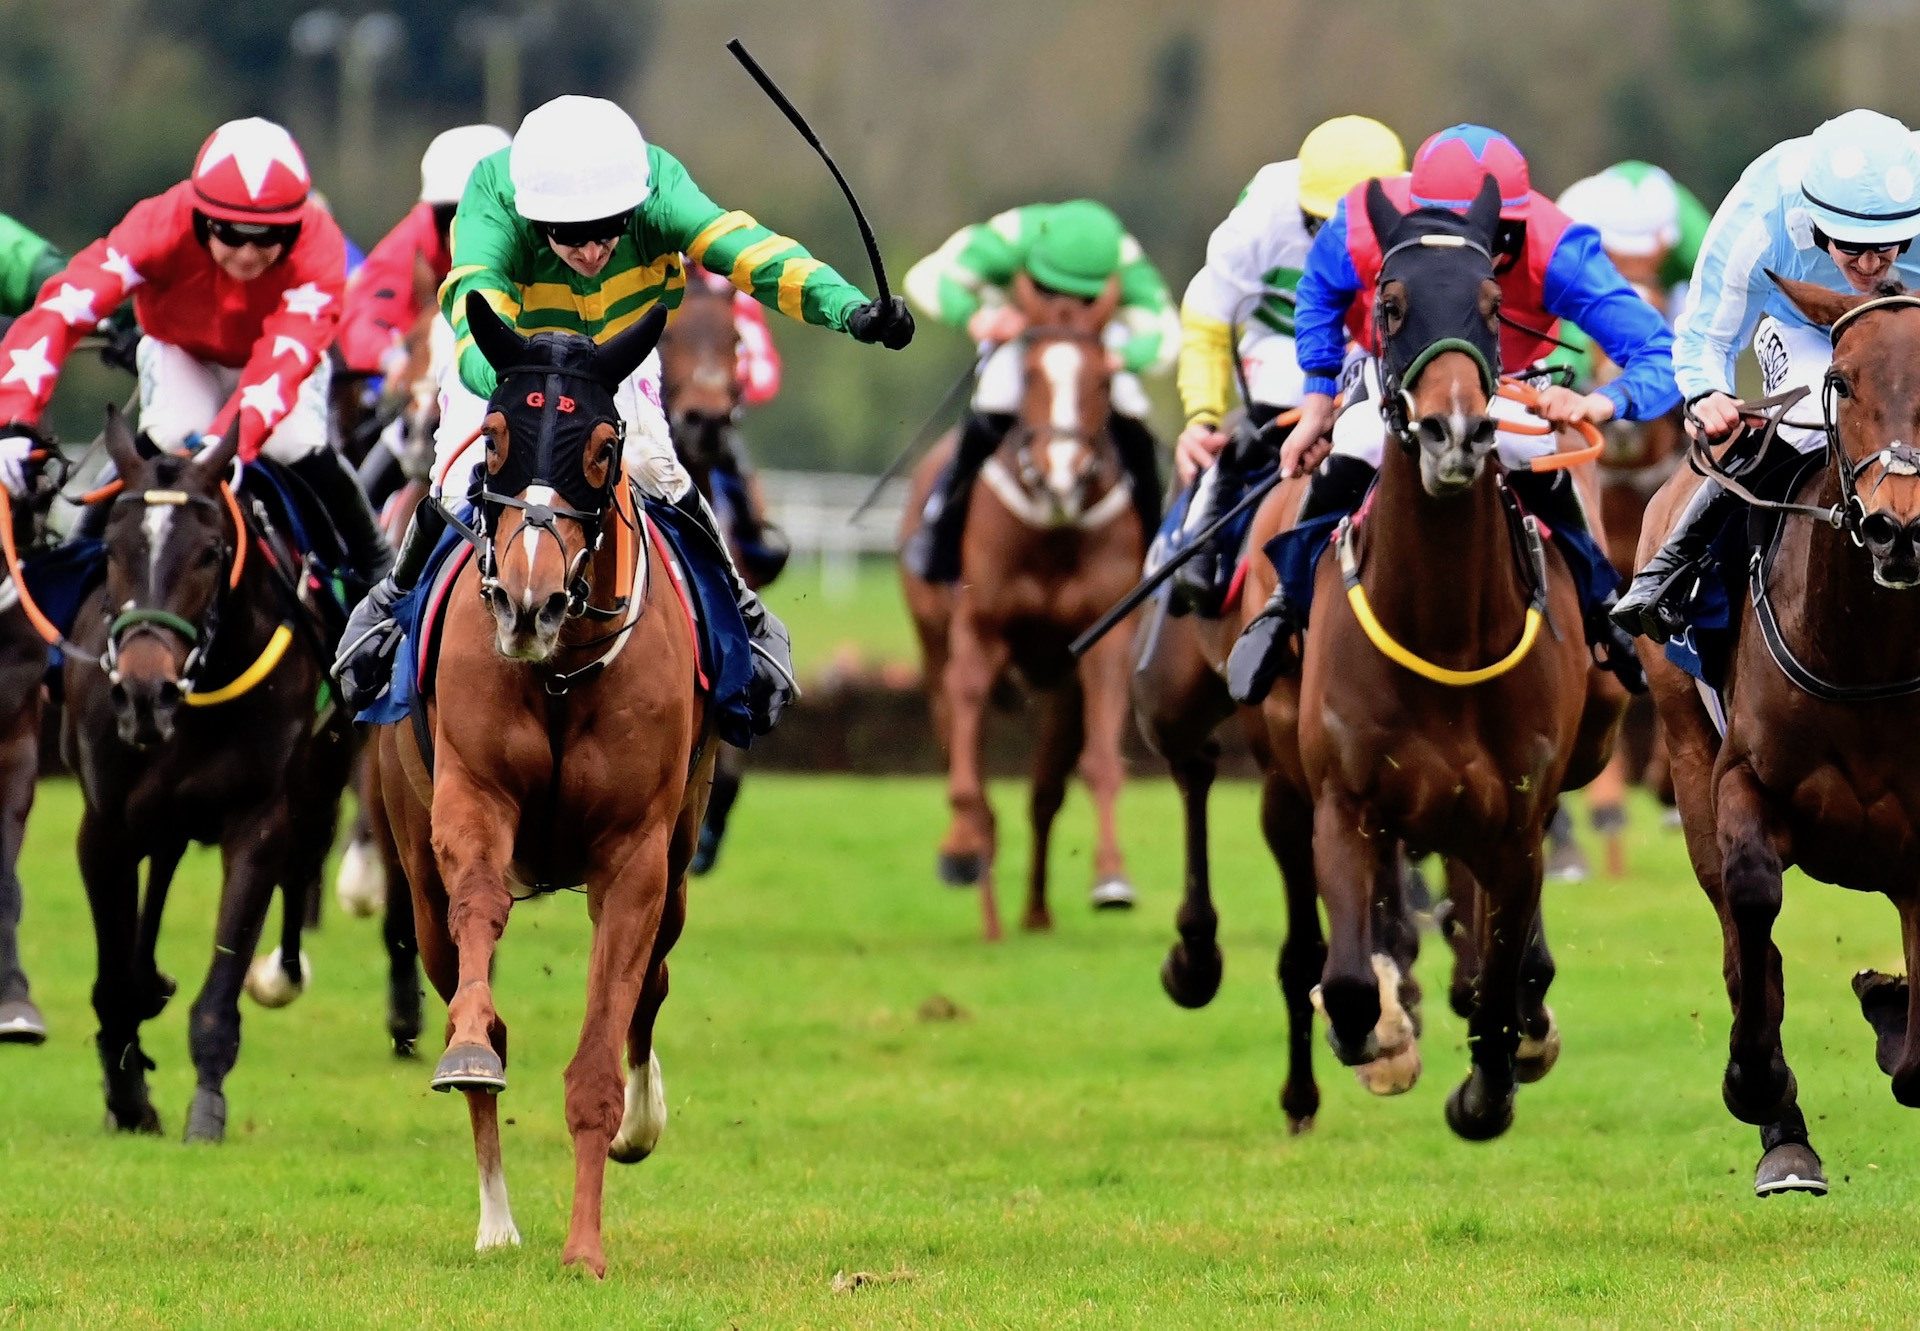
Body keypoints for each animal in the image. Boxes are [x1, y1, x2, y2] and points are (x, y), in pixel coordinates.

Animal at [61, 411, 355, 1137]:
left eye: (211, 553)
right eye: (112, 550)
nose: (145, 692)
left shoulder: (258, 820)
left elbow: (222, 984)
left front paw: (205, 1110)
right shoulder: (104, 825)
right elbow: (112, 981)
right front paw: (128, 1095)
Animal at [370, 295, 710, 1275]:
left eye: (599, 446)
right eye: (491, 439)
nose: (528, 602)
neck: (560, 673)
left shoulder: (635, 855)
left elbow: (603, 1046)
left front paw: (586, 1247)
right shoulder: (471, 800)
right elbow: (480, 928)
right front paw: (469, 1049)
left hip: (681, 856)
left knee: (655, 978)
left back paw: (638, 1121)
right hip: (414, 865)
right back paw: (495, 1218)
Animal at [894, 286, 1144, 941]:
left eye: (1104, 377)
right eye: (1030, 372)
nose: (1062, 472)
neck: (1052, 532)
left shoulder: (1102, 640)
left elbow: (1098, 763)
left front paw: (1112, 878)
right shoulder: (978, 633)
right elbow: (969, 776)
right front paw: (963, 853)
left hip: (1058, 683)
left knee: (1044, 791)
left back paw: (1033, 912)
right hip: (932, 645)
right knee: (956, 745)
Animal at [1635, 274, 1920, 1198]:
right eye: (1843, 382)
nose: (1897, 527)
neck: (1865, 654)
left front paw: (1890, 1013)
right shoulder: (1741, 781)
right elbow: (1755, 903)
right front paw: (1757, 1085)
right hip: (1685, 754)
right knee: (1739, 933)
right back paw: (1784, 1134)